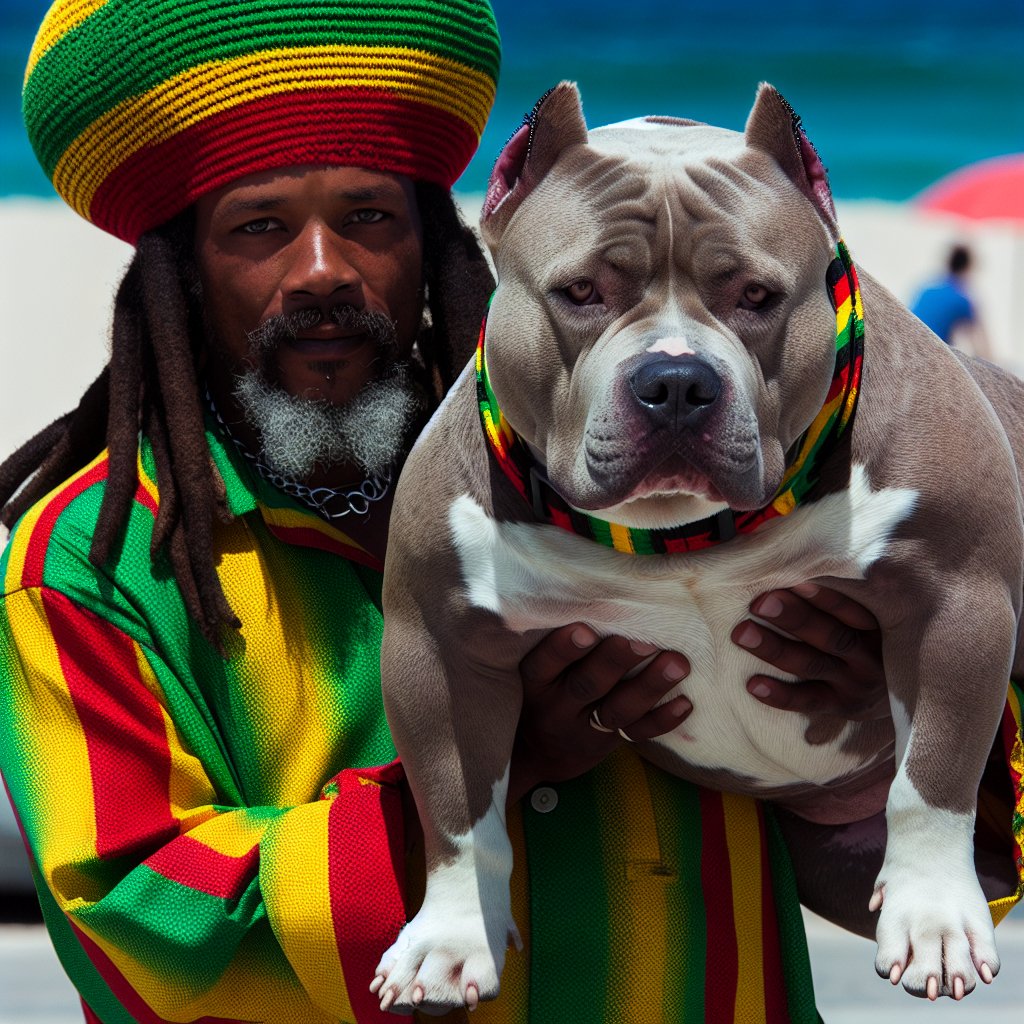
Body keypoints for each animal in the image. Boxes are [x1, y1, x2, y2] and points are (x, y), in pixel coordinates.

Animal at [372, 83, 1019, 1011]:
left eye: (756, 294)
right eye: (580, 290)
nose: (676, 379)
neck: (684, 539)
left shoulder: (954, 601)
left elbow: (932, 778)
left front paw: (933, 920)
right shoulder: (439, 642)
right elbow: (459, 815)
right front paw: (449, 940)